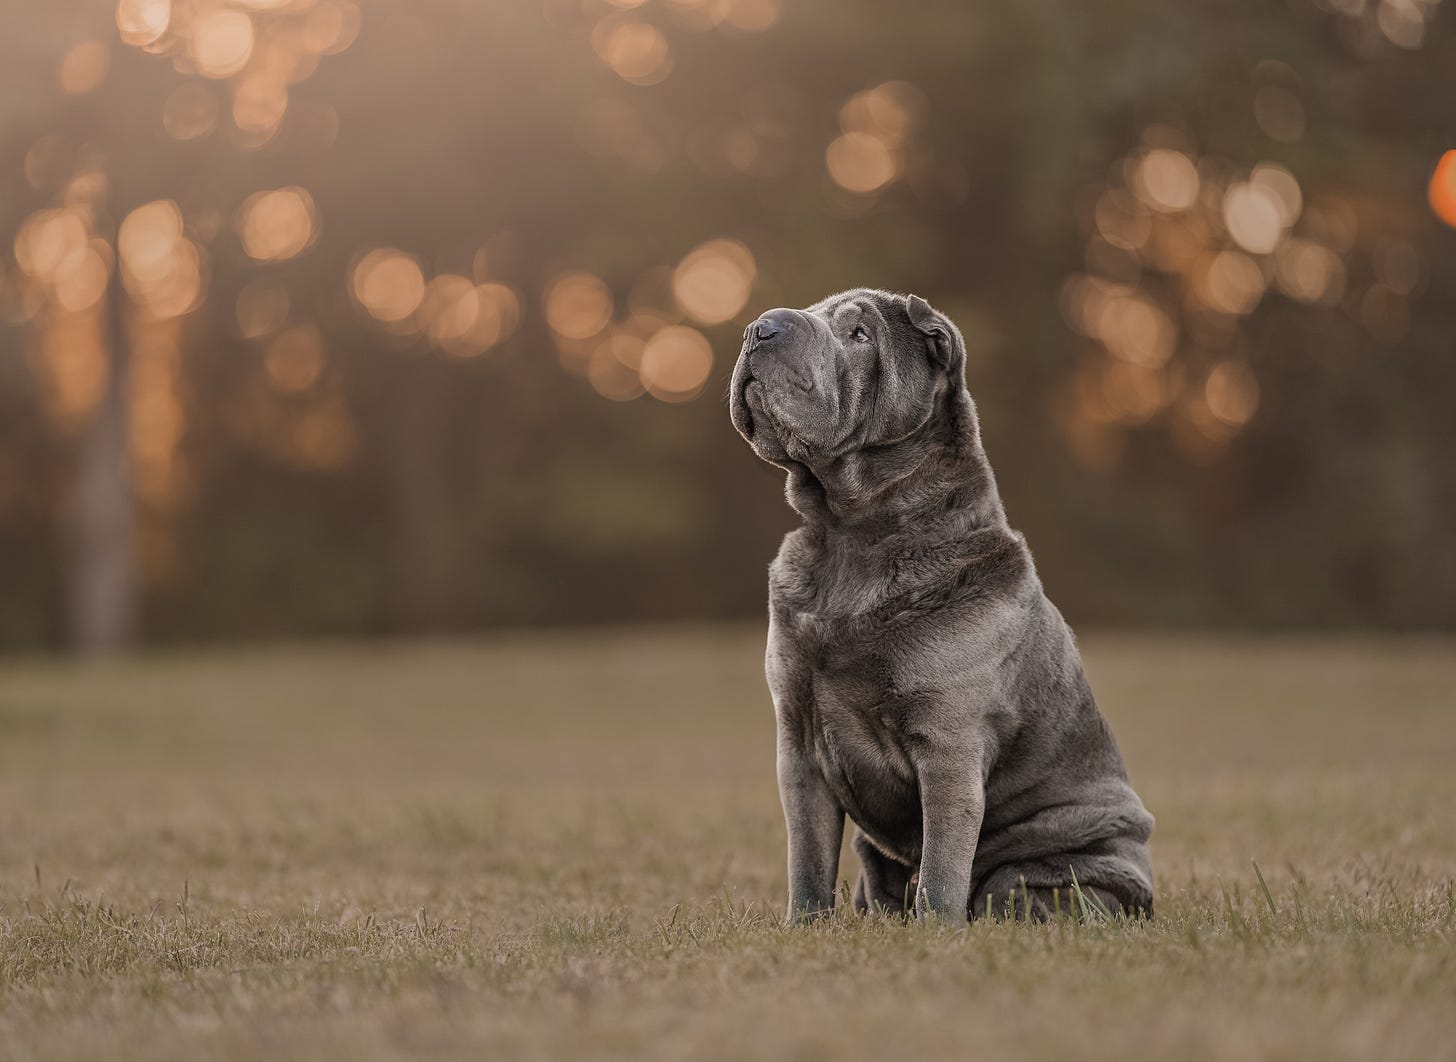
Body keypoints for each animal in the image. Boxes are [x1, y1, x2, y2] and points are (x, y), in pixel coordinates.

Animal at [733, 288, 1153, 920]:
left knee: (1014, 888)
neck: (850, 535)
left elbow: (942, 864)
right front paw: (804, 925)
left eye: (859, 334)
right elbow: (807, 860)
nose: (760, 329)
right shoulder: (799, 747)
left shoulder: (948, 745)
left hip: (1055, 870)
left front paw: (934, 928)